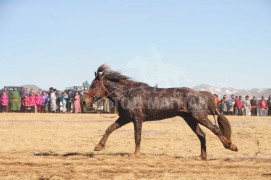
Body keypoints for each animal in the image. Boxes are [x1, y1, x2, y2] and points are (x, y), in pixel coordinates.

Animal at [83, 64, 238, 159]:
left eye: (94, 84)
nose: (85, 101)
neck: (128, 93)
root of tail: (201, 93)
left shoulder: (137, 119)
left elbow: (137, 137)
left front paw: (135, 154)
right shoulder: (125, 118)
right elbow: (109, 128)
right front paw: (98, 146)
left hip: (199, 117)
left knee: (216, 130)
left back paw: (231, 146)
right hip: (190, 119)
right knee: (202, 135)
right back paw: (202, 157)